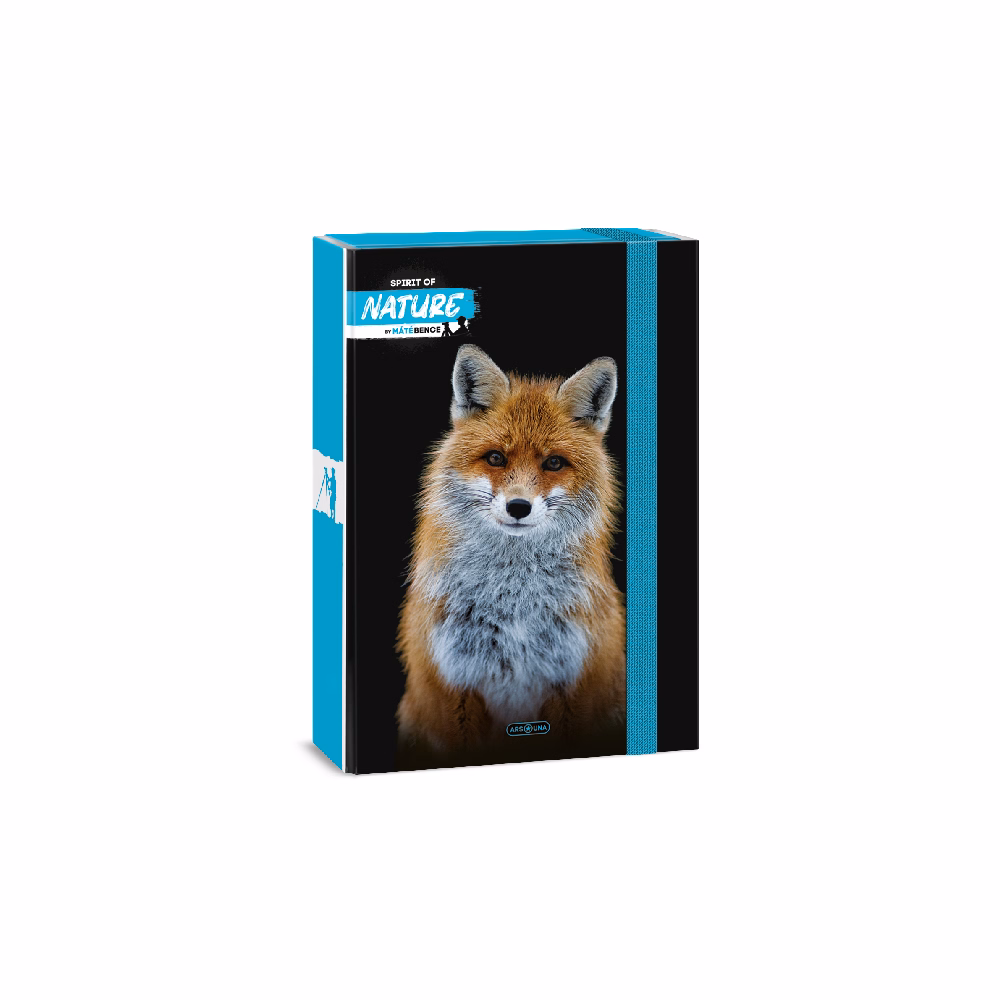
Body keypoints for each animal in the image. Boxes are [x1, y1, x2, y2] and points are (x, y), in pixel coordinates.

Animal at [396, 344, 626, 764]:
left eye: (554, 462)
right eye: (495, 458)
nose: (519, 506)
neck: (513, 604)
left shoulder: (574, 683)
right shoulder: (452, 685)